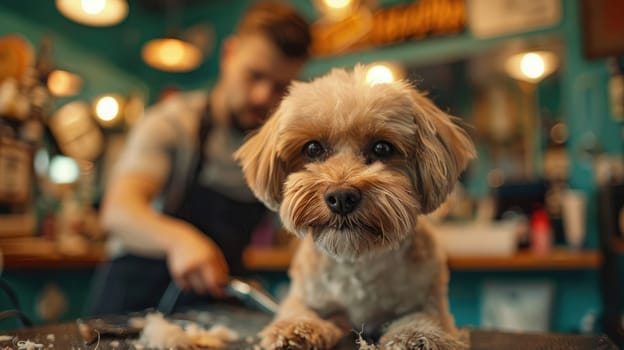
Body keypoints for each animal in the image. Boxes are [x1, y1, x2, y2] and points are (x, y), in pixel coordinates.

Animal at [236, 66, 476, 350]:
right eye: (313, 148)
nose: (341, 197)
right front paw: (296, 328)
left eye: (382, 148)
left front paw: (418, 335)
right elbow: (299, 310)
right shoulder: (305, 294)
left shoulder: (430, 299)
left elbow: (425, 316)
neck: (356, 259)